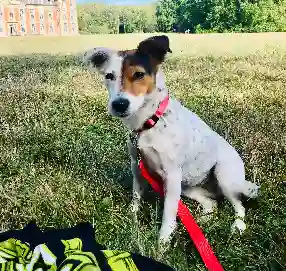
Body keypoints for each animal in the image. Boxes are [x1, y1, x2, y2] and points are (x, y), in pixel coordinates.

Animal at [82, 35, 260, 249]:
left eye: (139, 74)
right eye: (109, 76)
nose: (119, 104)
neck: (151, 122)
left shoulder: (172, 175)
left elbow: (169, 213)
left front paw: (163, 242)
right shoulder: (137, 165)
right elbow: (136, 195)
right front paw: (132, 216)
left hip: (223, 176)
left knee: (239, 206)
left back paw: (237, 226)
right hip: (188, 187)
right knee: (212, 204)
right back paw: (203, 223)